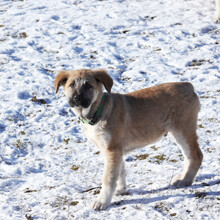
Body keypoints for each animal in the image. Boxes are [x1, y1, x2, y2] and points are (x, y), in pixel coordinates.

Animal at [54, 69, 203, 210]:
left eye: (88, 86)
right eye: (71, 85)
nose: (77, 98)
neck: (98, 111)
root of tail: (187, 85)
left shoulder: (112, 149)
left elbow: (108, 177)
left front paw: (102, 201)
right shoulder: (115, 150)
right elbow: (119, 171)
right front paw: (121, 190)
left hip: (182, 129)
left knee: (196, 155)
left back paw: (185, 181)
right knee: (188, 155)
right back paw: (183, 177)